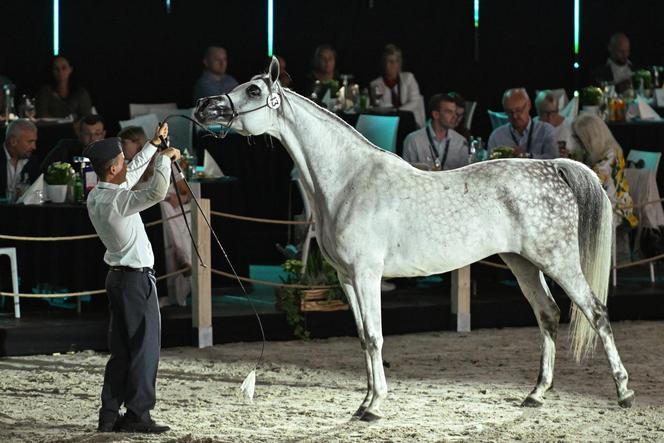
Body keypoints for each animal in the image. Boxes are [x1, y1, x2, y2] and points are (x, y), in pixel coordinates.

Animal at [195, 57, 636, 422]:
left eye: (254, 91)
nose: (204, 107)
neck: (349, 180)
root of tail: (554, 166)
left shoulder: (367, 275)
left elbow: (375, 337)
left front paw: (375, 405)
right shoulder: (346, 279)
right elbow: (363, 339)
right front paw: (364, 402)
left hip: (559, 261)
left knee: (596, 313)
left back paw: (624, 392)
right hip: (524, 263)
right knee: (547, 314)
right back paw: (536, 394)